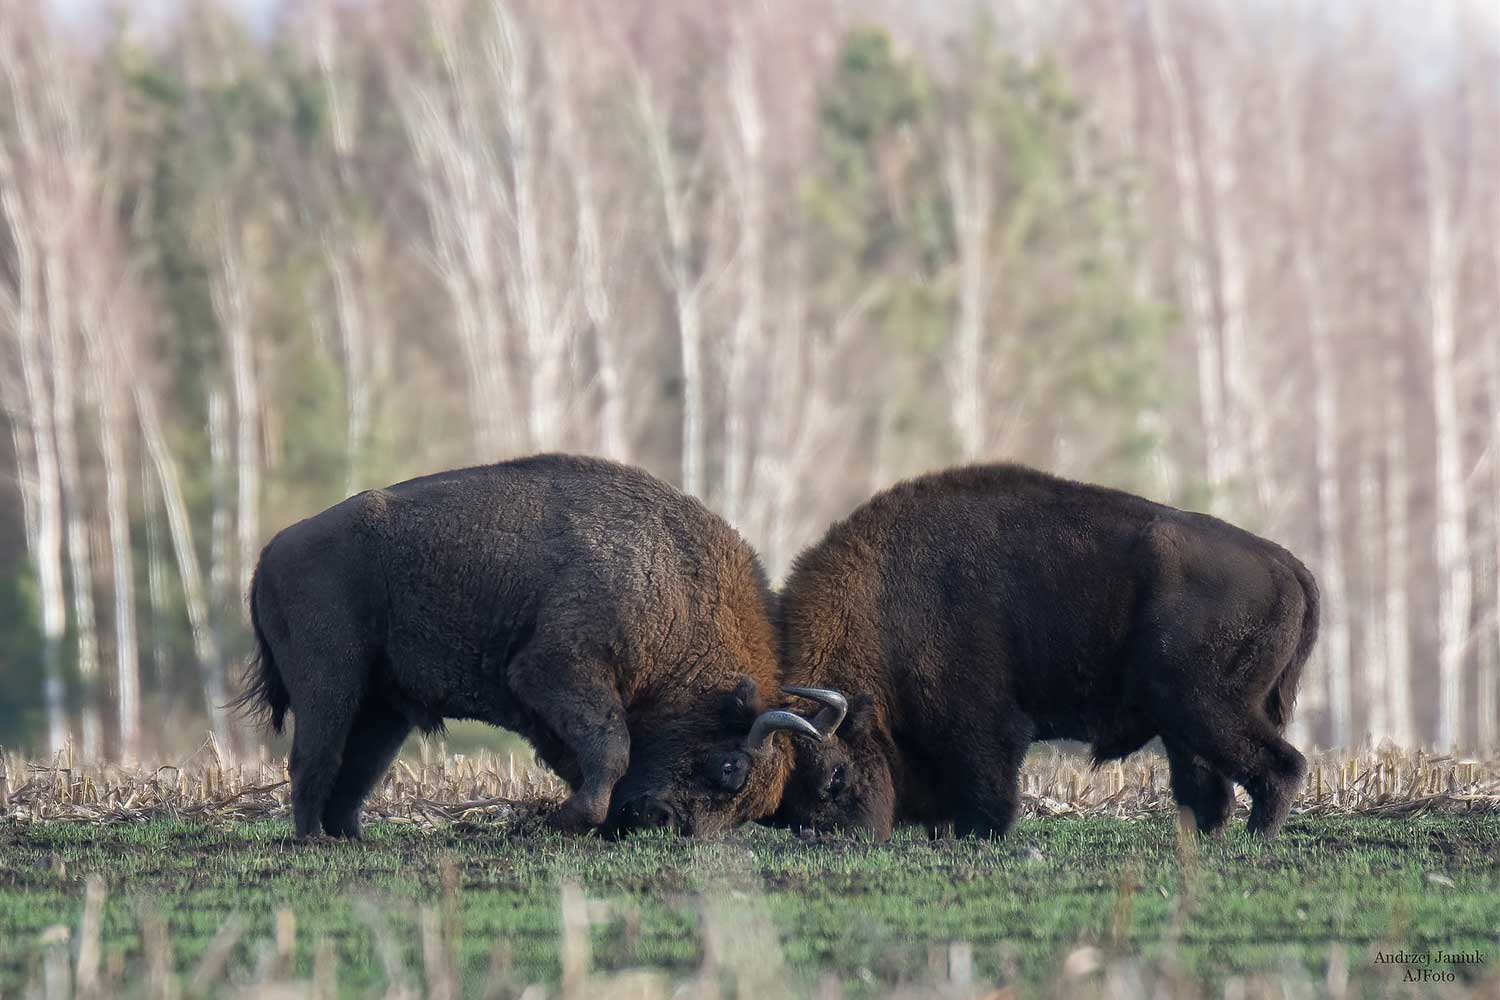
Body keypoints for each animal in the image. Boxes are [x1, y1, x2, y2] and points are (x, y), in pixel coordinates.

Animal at [235, 458, 828, 839]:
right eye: (730, 767)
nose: (664, 823)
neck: (676, 589)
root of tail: (269, 554)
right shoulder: (553, 672)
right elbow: (611, 749)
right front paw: (569, 820)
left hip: (385, 707)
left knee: (358, 769)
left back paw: (349, 837)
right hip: (331, 684)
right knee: (314, 756)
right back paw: (311, 839)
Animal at [768, 464, 1320, 839]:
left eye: (835, 773)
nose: (838, 836)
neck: (882, 597)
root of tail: (1284, 563)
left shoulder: (983, 726)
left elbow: (988, 787)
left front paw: (982, 835)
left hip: (1207, 709)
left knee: (1280, 767)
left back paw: (1256, 838)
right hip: (1184, 724)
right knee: (1211, 790)